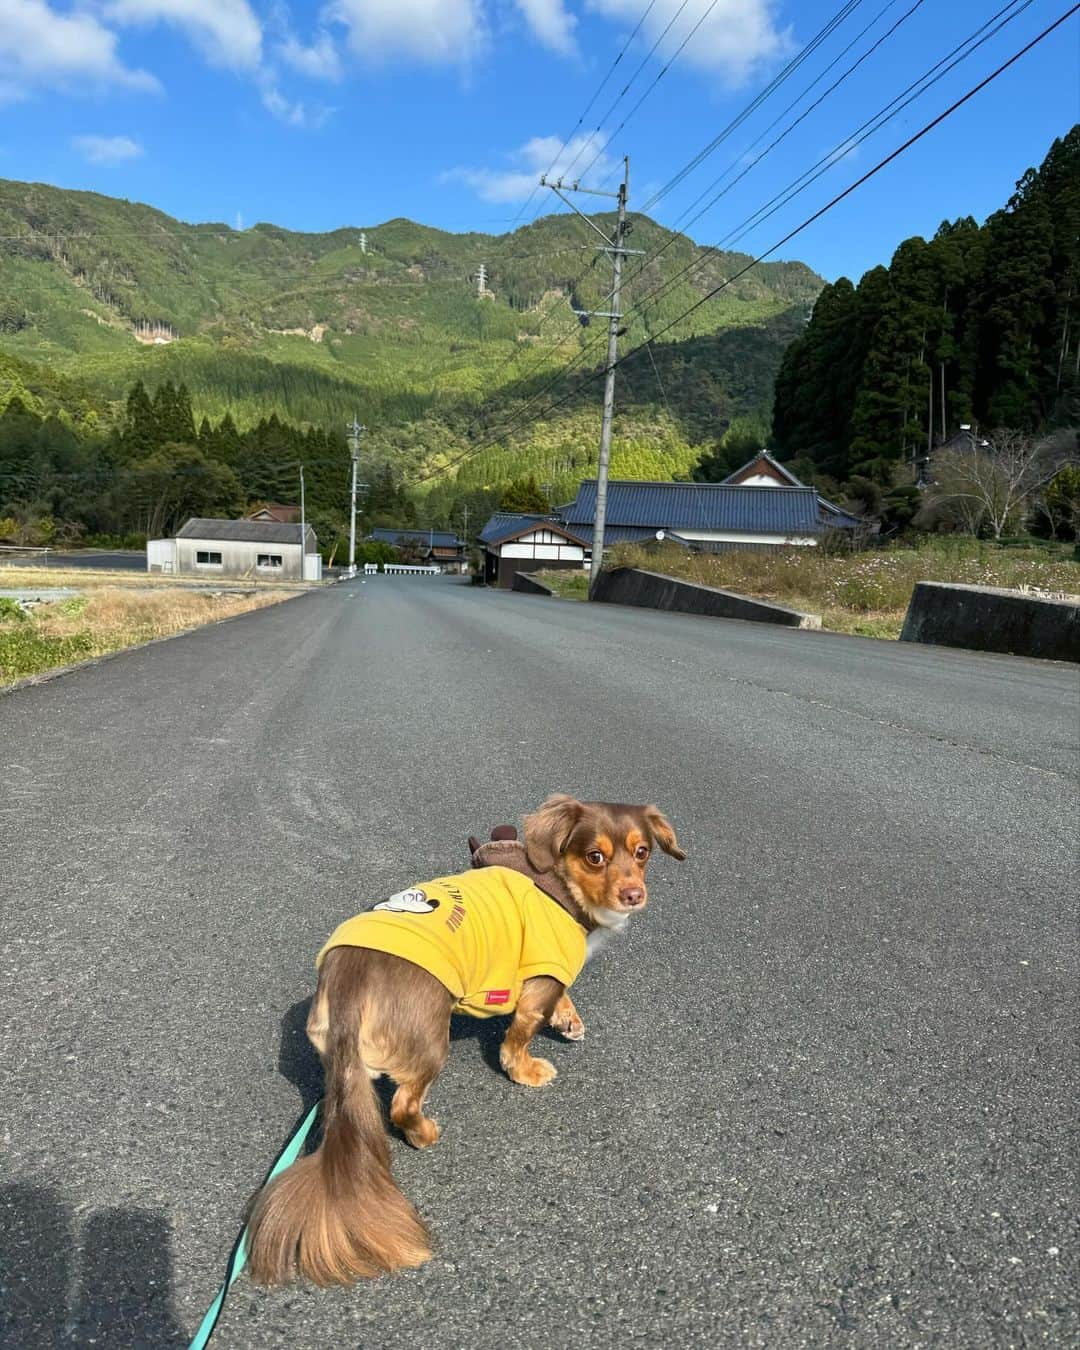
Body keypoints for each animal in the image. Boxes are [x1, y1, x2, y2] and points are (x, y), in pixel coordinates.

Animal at [247, 793, 683, 1290]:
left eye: (642, 853)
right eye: (595, 857)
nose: (634, 895)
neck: (550, 876)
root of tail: (350, 988)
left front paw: (568, 1019)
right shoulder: (542, 977)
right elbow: (520, 1033)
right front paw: (526, 1069)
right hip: (431, 1041)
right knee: (403, 1105)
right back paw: (423, 1134)